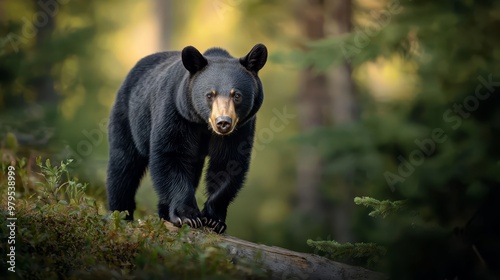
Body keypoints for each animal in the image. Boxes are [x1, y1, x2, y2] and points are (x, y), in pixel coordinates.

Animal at [107, 43, 268, 232]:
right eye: (210, 95)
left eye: (236, 95)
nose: (223, 122)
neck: (203, 124)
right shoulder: (176, 113)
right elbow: (170, 155)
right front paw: (188, 216)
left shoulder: (241, 128)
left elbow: (228, 162)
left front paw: (214, 219)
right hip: (128, 117)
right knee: (124, 165)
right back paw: (121, 213)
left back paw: (164, 213)